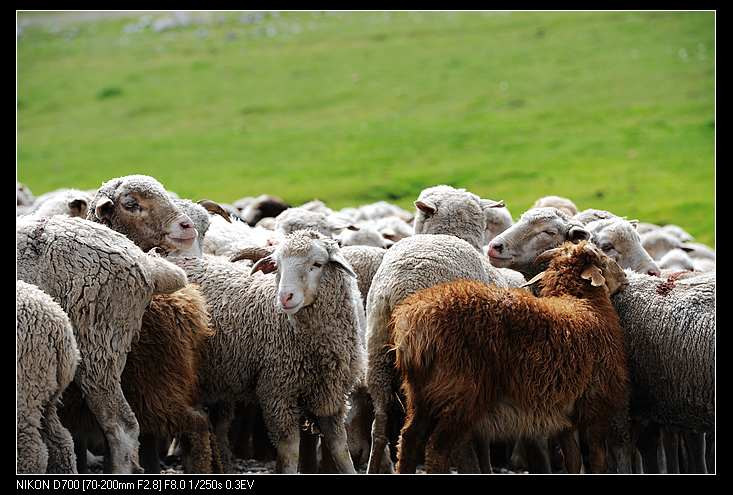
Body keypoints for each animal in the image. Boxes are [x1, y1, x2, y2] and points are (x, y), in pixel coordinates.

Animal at [392, 242, 632, 474]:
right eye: (603, 260)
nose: (625, 276)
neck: (583, 304)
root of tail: (418, 320)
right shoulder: (595, 406)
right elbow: (596, 460)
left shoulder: (565, 417)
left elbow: (573, 460)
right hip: (462, 393)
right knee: (437, 448)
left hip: (420, 393)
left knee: (409, 438)